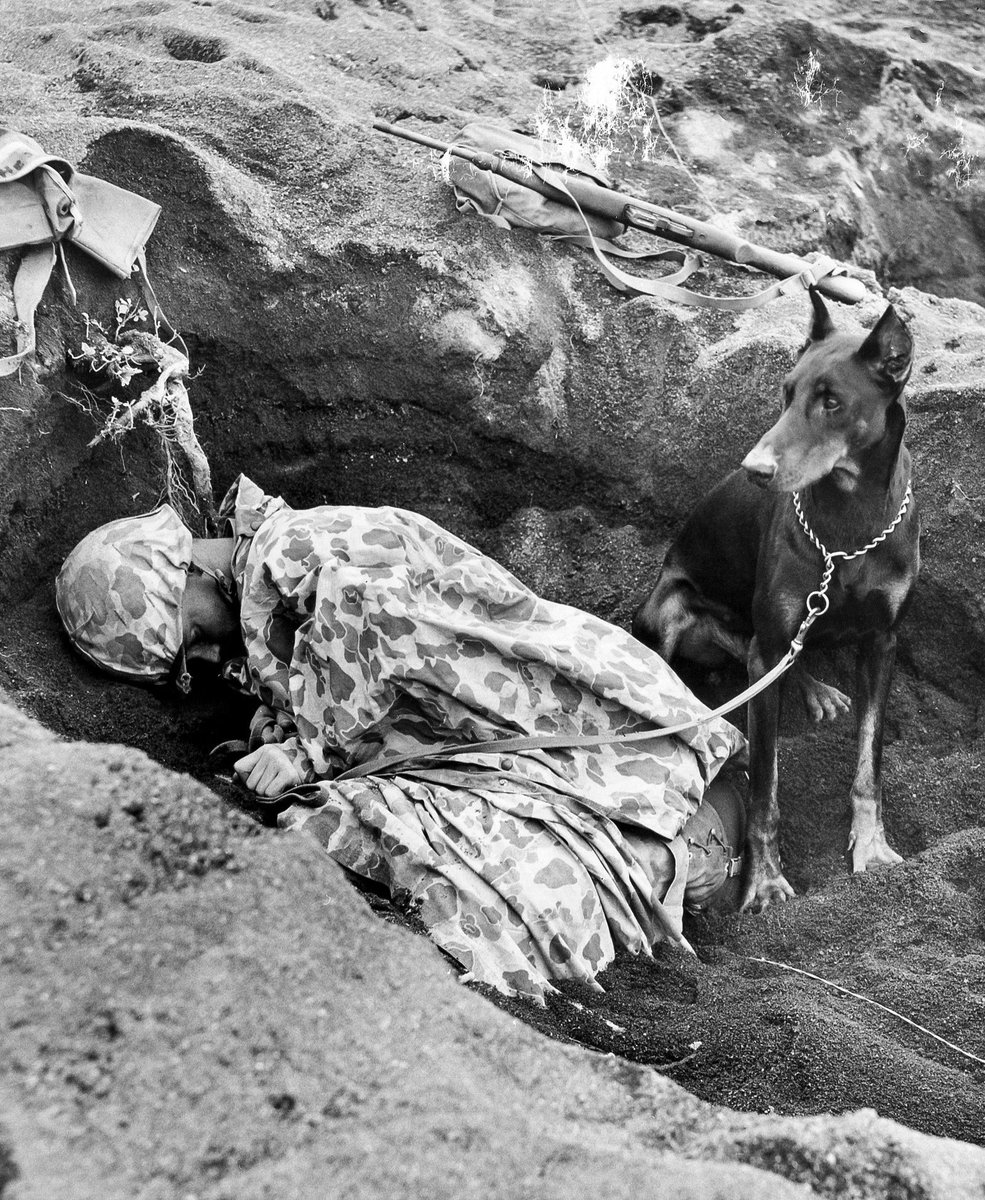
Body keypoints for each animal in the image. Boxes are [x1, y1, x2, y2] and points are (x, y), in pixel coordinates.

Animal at [633, 290, 916, 907]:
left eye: (831, 402)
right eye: (786, 392)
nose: (754, 470)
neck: (849, 526)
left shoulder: (883, 641)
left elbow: (870, 764)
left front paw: (873, 849)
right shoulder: (771, 648)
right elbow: (764, 787)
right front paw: (763, 884)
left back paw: (815, 690)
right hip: (668, 610)